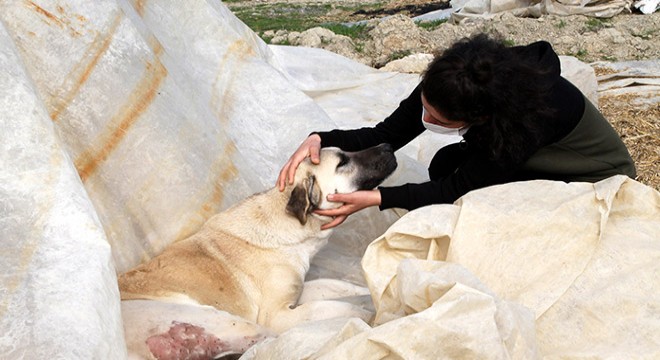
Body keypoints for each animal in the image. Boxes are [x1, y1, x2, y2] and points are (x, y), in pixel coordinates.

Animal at [117, 144, 398, 360]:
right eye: (342, 162)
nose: (387, 145)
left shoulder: (299, 292)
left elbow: (338, 287)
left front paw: (370, 293)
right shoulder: (277, 315)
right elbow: (341, 308)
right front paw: (374, 314)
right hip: (235, 324)